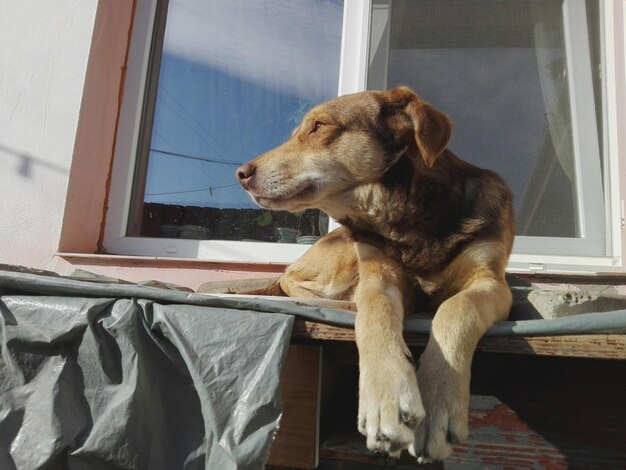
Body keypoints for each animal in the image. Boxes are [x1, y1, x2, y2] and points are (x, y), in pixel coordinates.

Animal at [234, 86, 512, 460]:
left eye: (318, 126)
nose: (241, 173)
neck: (405, 217)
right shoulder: (378, 274)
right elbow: (374, 313)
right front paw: (387, 395)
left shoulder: (492, 282)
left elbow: (457, 308)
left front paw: (438, 398)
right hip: (344, 253)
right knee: (290, 278)